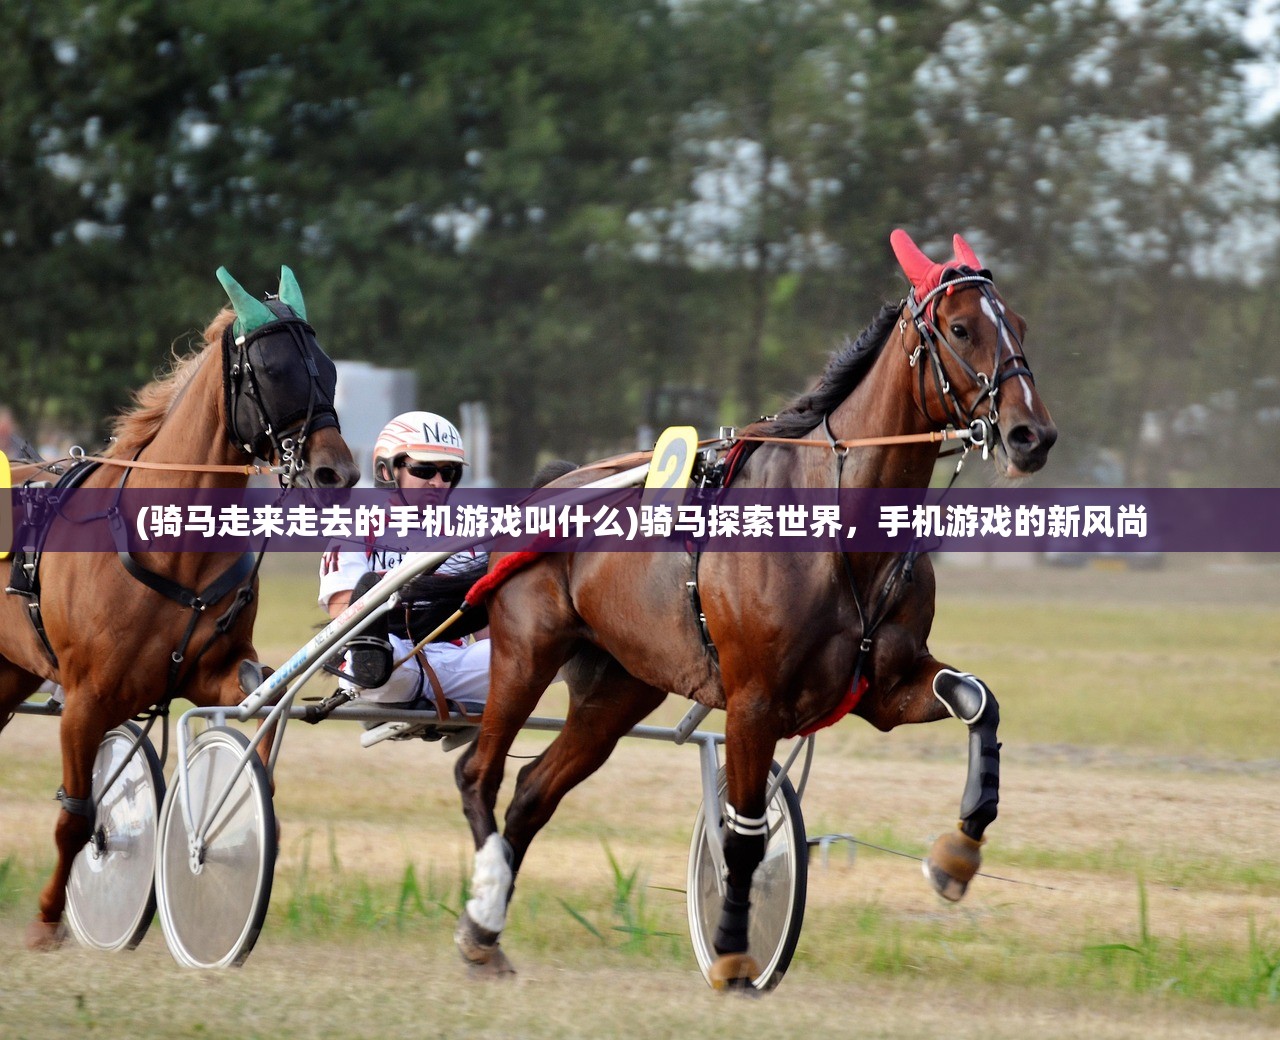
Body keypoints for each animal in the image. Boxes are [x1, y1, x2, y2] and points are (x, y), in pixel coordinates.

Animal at [1, 270, 360, 952]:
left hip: (8, 672)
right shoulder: (85, 697)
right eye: (273, 370)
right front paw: (47, 919)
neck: (170, 551)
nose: (337, 472)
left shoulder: (216, 672)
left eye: (328, 369)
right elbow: (77, 817)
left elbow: (254, 735)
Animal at [455, 231, 1054, 988]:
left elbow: (977, 700)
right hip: (527, 650)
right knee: (479, 772)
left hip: (622, 685)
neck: (833, 525)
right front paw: (736, 950)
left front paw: (958, 853)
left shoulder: (885, 689)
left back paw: (486, 929)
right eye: (960, 328)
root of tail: (551, 486)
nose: (1033, 435)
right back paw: (483, 907)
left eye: (1022, 326)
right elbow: (742, 837)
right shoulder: (754, 702)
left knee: (534, 789)